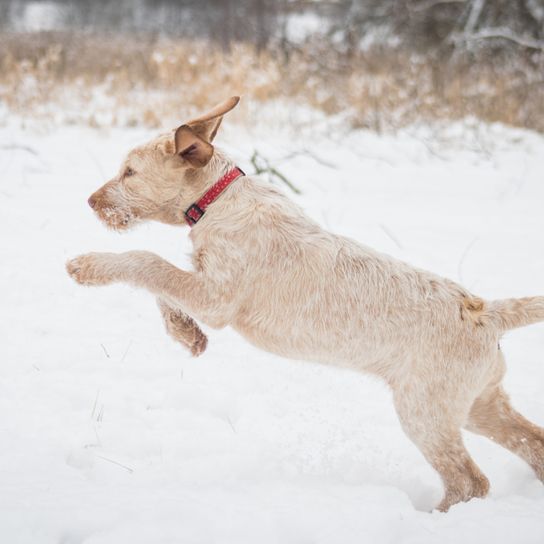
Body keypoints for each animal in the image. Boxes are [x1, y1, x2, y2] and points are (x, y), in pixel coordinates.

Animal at [67, 96, 544, 510]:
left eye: (130, 172)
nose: (90, 202)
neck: (218, 198)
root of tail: (488, 311)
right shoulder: (202, 286)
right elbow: (161, 285)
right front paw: (186, 334)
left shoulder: (216, 297)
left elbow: (146, 262)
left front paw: (88, 266)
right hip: (478, 404)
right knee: (532, 442)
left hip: (425, 412)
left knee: (470, 481)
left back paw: (433, 518)